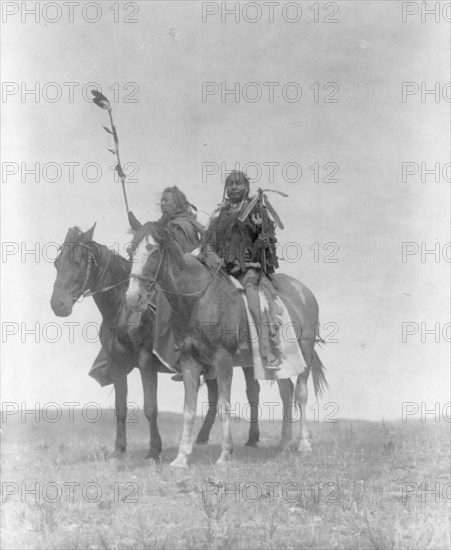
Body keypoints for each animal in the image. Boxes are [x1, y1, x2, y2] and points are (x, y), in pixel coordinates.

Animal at [49, 224, 222, 462]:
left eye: (77, 262)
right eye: (57, 263)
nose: (58, 305)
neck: (122, 310)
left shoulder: (146, 362)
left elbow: (150, 407)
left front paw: (154, 450)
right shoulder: (117, 366)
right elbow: (120, 408)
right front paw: (119, 449)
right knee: (215, 395)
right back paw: (202, 439)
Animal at [125, 223, 326, 470]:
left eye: (153, 251)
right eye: (130, 251)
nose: (133, 297)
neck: (199, 299)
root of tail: (304, 291)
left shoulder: (223, 360)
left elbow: (223, 405)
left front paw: (225, 454)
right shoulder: (189, 361)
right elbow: (188, 409)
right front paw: (181, 458)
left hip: (305, 352)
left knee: (301, 393)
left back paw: (303, 445)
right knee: (286, 392)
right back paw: (284, 445)